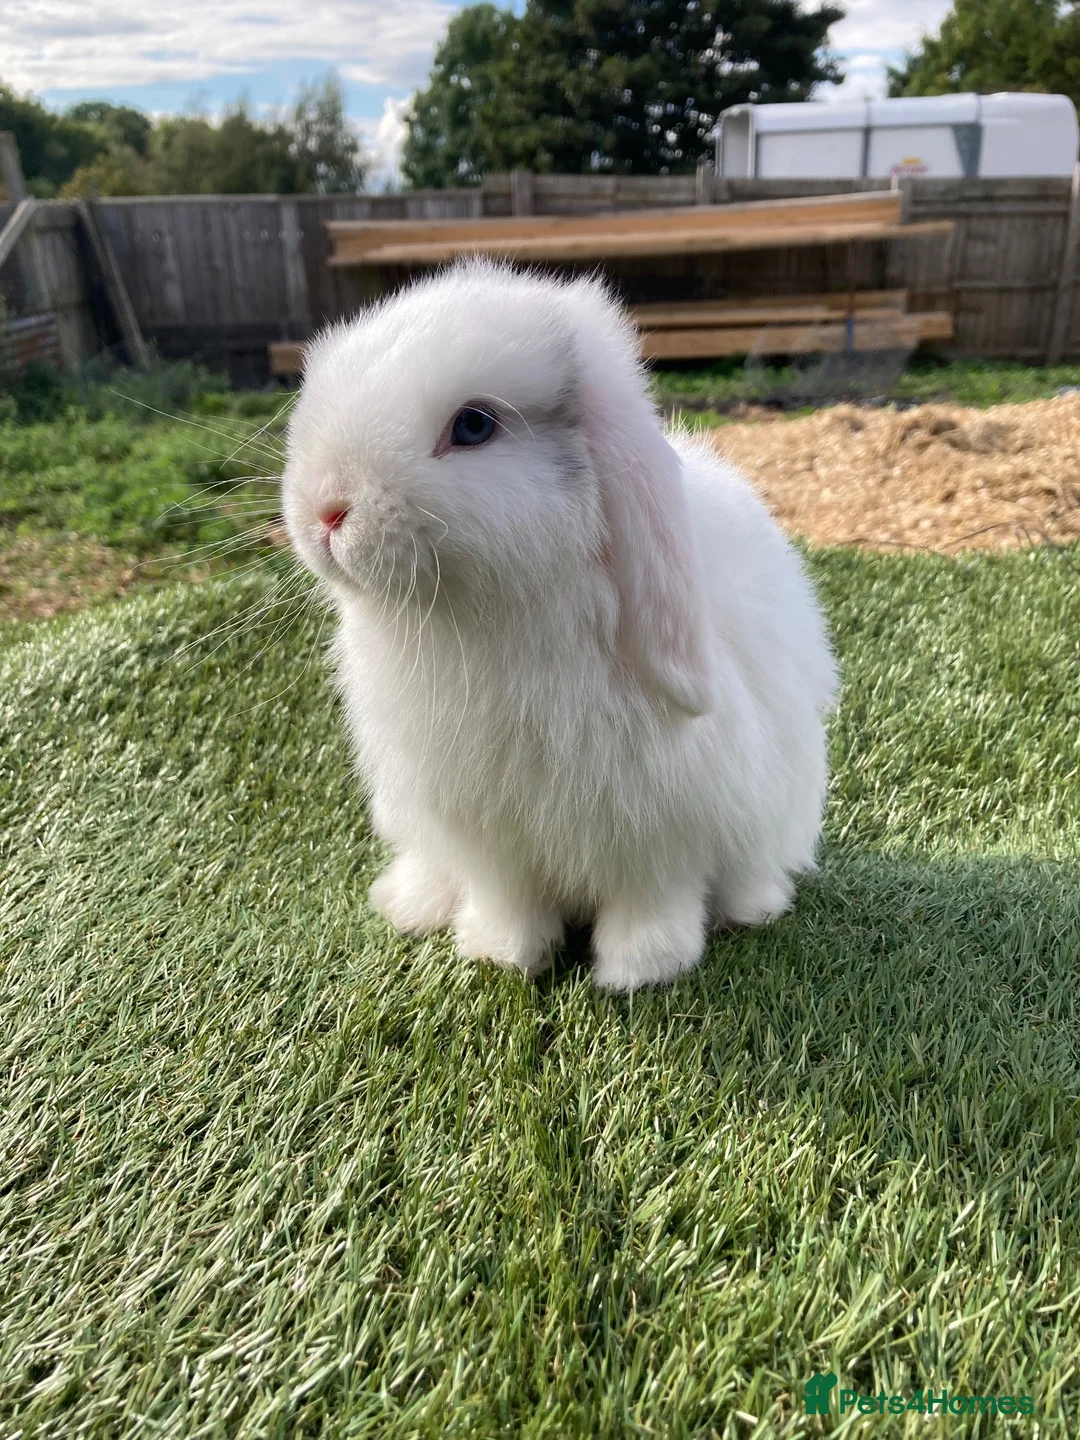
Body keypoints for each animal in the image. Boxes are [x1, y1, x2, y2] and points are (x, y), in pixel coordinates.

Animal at [281, 258, 837, 992]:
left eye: (474, 425)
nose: (325, 509)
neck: (483, 620)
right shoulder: (486, 837)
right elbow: (508, 900)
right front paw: (502, 956)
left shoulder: (660, 832)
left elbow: (651, 901)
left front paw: (640, 970)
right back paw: (411, 904)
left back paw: (753, 909)